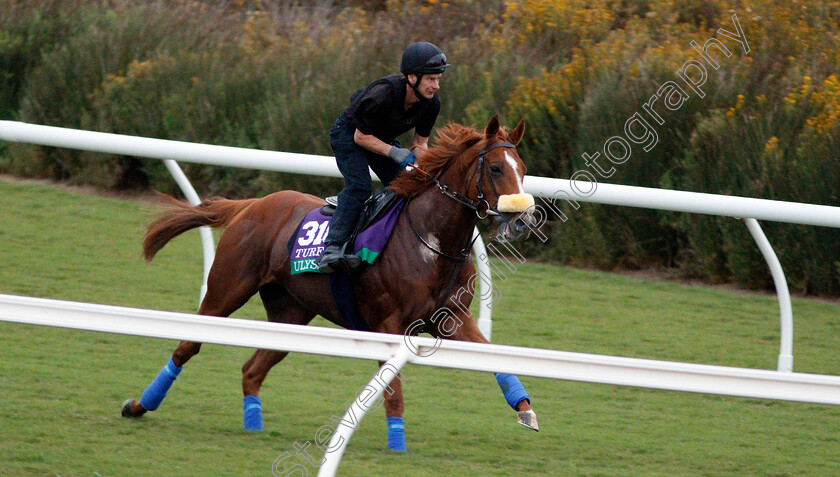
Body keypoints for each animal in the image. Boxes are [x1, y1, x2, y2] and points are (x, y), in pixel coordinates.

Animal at [120, 115, 540, 450]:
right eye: (496, 169)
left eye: (522, 167)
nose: (524, 219)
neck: (432, 240)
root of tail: (253, 204)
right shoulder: (387, 324)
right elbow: (393, 389)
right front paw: (397, 440)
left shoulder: (450, 316)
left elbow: (493, 357)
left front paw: (526, 410)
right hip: (227, 289)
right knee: (187, 346)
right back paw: (140, 405)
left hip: (291, 313)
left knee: (252, 368)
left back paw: (253, 422)